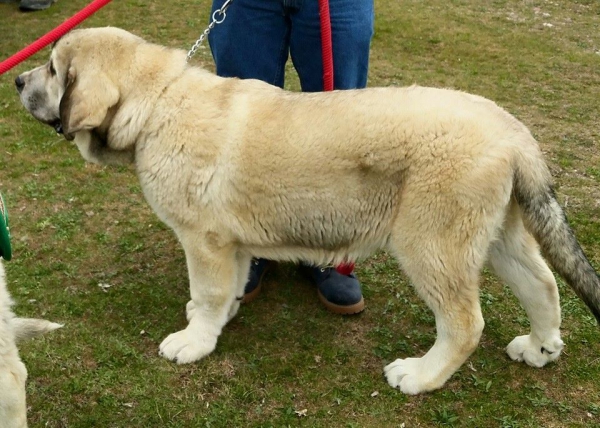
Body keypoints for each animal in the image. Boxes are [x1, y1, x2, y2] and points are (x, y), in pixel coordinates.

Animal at [14, 26, 600, 394]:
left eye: (53, 70)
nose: (17, 80)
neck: (158, 104)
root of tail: (514, 131)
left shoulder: (203, 240)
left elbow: (208, 292)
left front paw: (195, 342)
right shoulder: (230, 243)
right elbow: (226, 289)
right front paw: (217, 319)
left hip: (431, 245)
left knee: (464, 322)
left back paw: (421, 376)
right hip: (498, 236)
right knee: (543, 284)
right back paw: (541, 347)